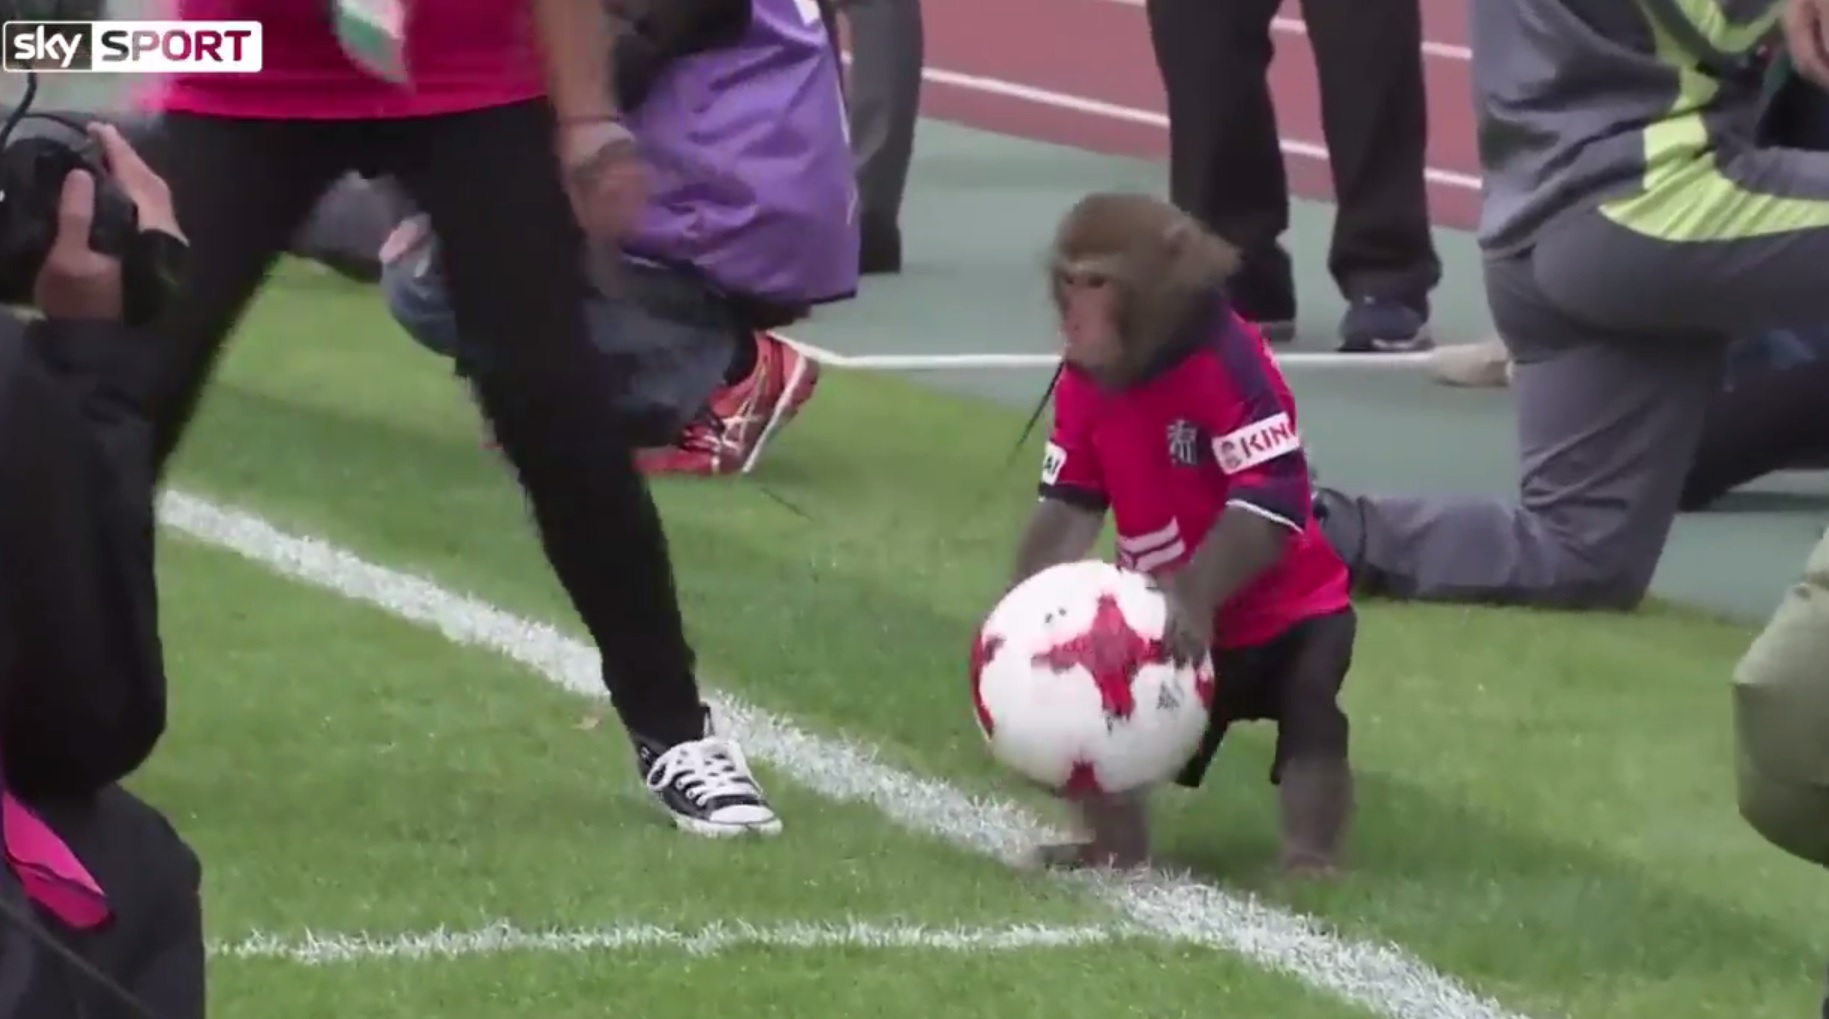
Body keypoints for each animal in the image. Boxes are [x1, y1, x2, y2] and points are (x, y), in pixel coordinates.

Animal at [1009, 192, 1358, 877]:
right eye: (1071, 281)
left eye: (1098, 282)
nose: (1079, 320)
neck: (1155, 355)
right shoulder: (1081, 380)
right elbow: (1071, 499)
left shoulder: (1234, 362)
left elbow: (1265, 490)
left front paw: (1189, 602)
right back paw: (1114, 849)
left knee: (1311, 701)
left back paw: (1307, 862)